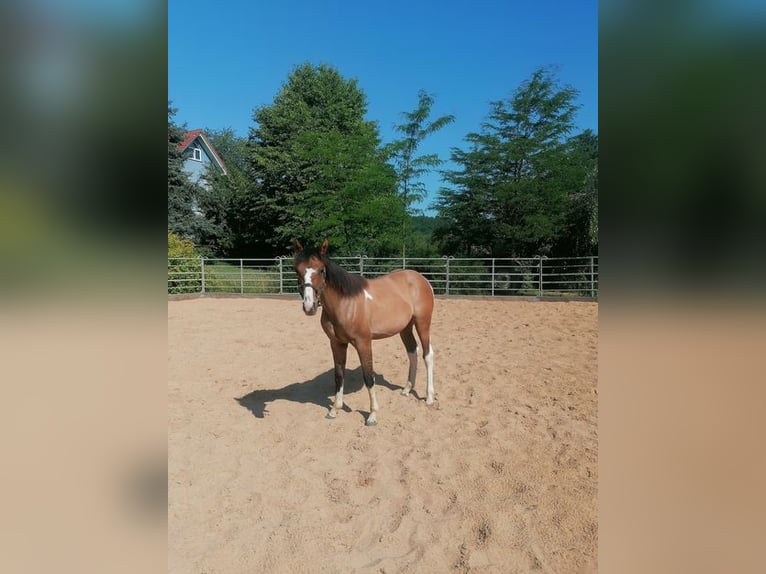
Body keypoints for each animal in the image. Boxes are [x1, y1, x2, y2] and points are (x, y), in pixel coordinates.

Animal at [293, 238, 435, 426]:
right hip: (405, 328)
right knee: (413, 352)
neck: (345, 303)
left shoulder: (363, 342)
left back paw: (430, 398)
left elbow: (368, 376)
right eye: (297, 270)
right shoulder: (337, 343)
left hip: (422, 323)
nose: (309, 306)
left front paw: (372, 415)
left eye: (321, 270)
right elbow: (338, 375)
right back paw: (406, 389)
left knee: (427, 354)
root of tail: (422, 279)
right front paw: (335, 409)